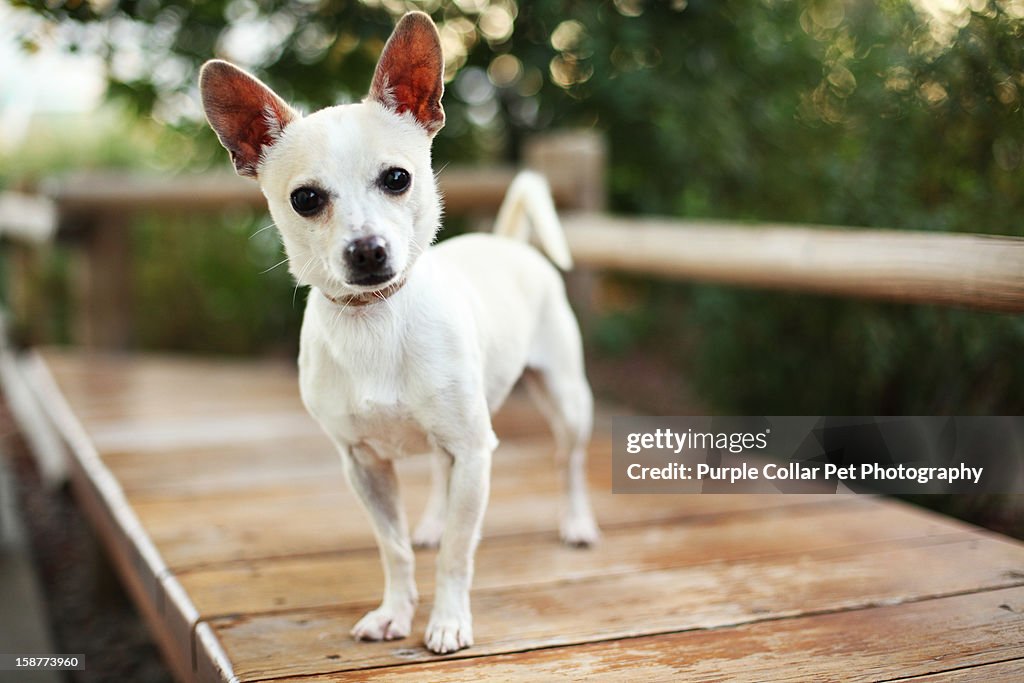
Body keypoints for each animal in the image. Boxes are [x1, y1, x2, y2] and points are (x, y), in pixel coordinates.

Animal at [198, 9, 598, 651]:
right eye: (305, 199)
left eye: (396, 178)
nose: (367, 249)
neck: (374, 320)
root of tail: (507, 242)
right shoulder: (364, 466)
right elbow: (394, 549)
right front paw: (394, 610)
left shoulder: (474, 450)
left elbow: (459, 552)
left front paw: (449, 620)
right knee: (438, 474)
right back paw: (432, 522)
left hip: (565, 398)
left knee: (570, 462)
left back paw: (578, 522)